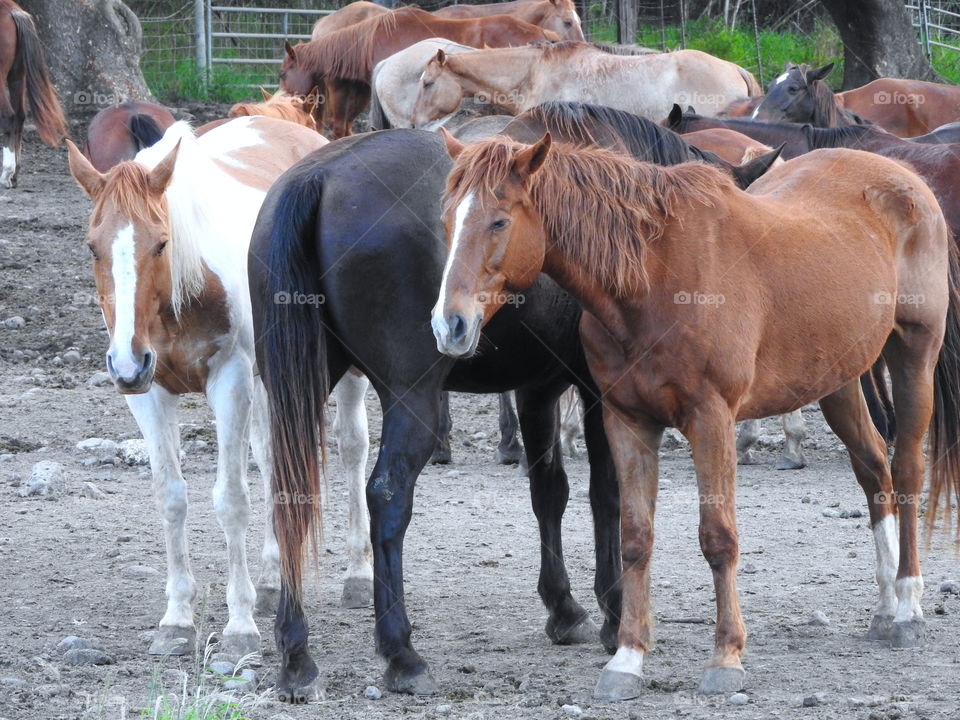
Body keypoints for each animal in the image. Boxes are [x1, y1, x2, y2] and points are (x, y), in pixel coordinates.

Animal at [0, 0, 67, 188]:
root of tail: (11, 10)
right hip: (17, 76)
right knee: (19, 117)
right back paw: (14, 175)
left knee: (9, 117)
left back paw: (6, 175)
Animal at [63, 116, 379, 662]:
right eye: (91, 246)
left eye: (161, 243)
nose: (125, 361)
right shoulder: (149, 394)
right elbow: (171, 497)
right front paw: (176, 621)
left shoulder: (230, 380)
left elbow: (232, 499)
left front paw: (239, 628)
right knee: (275, 459)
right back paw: (274, 580)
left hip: (336, 372)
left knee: (352, 450)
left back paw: (358, 575)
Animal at [248, 101, 783, 702]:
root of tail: (320, 174)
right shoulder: (600, 394)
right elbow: (606, 495)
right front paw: (612, 613)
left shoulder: (537, 389)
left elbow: (549, 491)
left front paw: (564, 607)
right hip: (413, 398)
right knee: (386, 496)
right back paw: (401, 652)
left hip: (297, 391)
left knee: (289, 491)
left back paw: (296, 654)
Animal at [432, 131, 960, 699]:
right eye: (447, 220)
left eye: (498, 221)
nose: (448, 325)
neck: (651, 275)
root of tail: (905, 178)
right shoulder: (627, 421)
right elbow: (634, 538)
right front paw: (626, 658)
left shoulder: (712, 419)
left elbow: (718, 537)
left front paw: (726, 657)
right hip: (838, 378)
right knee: (873, 471)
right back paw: (885, 607)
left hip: (913, 355)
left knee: (906, 470)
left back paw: (907, 607)